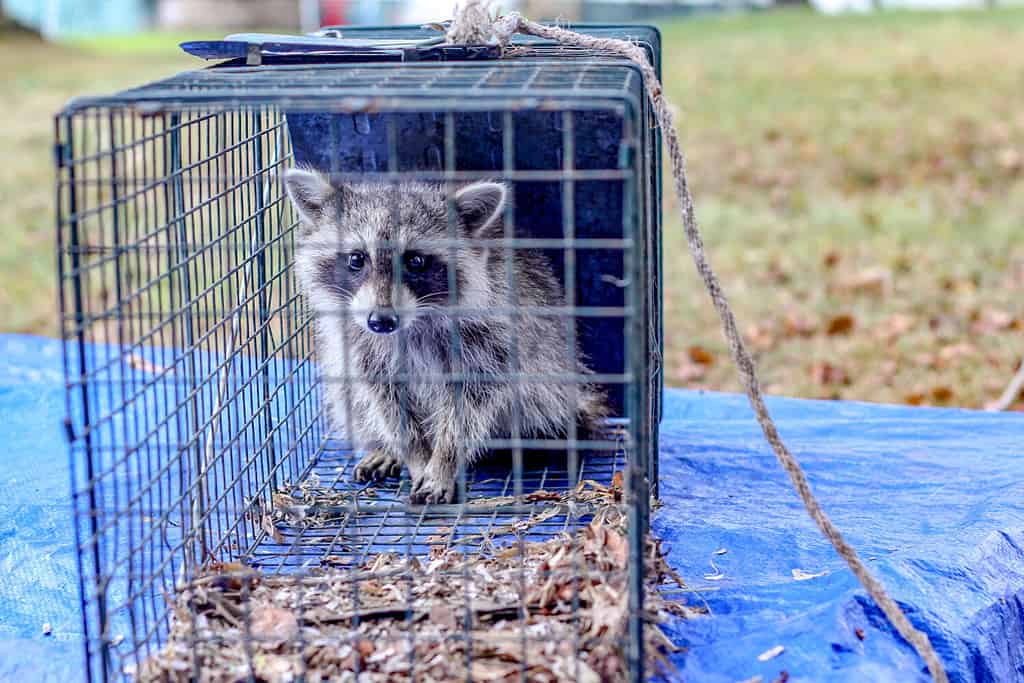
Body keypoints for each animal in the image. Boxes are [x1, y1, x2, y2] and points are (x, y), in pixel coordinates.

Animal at [286, 168, 606, 505]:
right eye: (356, 259)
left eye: (415, 261)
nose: (381, 321)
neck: (412, 323)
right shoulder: (361, 345)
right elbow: (389, 403)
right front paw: (415, 454)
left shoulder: (490, 340)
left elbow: (467, 408)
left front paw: (443, 461)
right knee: (349, 395)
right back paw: (385, 447)